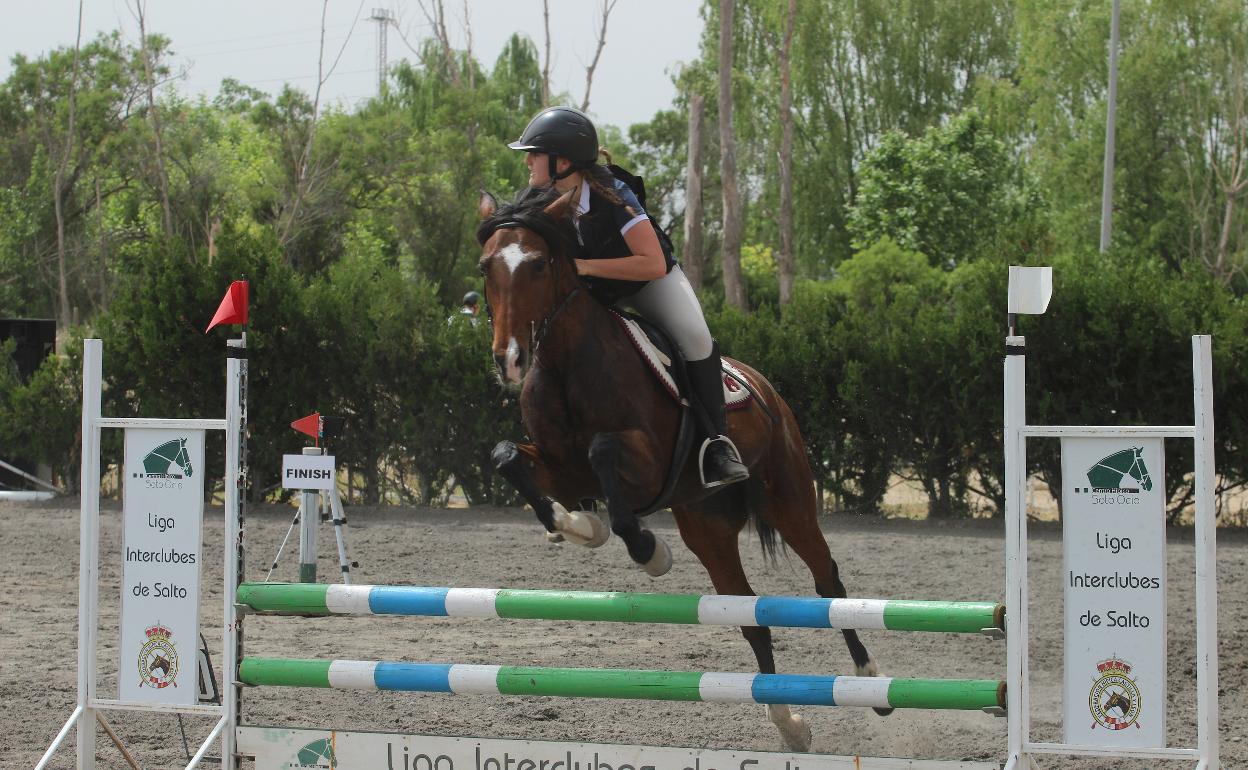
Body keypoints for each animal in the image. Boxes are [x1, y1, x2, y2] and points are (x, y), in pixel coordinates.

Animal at [474, 187, 888, 748]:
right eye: (485, 267)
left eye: (538, 265)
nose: (510, 360)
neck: (565, 363)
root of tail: (766, 389)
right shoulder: (563, 470)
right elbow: (508, 457)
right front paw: (577, 525)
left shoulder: (646, 466)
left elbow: (604, 453)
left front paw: (649, 551)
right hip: (707, 528)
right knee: (750, 615)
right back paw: (789, 723)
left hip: (790, 503)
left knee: (828, 585)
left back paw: (870, 682)